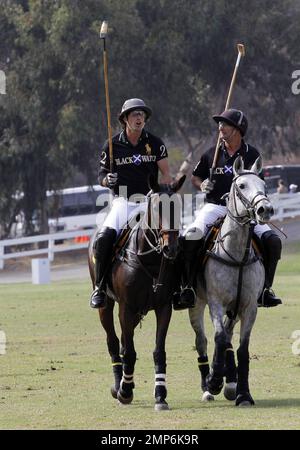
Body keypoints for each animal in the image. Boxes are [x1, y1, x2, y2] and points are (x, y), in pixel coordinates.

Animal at [190, 156, 274, 406]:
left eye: (264, 185)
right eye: (242, 186)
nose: (265, 209)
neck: (236, 254)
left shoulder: (248, 306)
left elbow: (242, 349)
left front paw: (243, 393)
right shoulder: (216, 302)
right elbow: (218, 337)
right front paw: (214, 380)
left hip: (234, 309)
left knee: (227, 336)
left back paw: (230, 381)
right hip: (197, 303)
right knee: (203, 340)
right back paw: (208, 385)